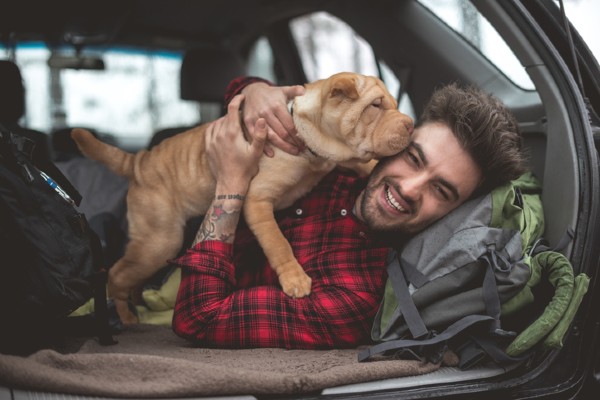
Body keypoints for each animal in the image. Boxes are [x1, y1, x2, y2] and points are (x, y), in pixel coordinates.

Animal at [71, 71, 412, 322]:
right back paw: (127, 317)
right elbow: (278, 243)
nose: (410, 124)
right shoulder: (257, 201)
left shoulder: (338, 159)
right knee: (117, 274)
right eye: (375, 106)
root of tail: (139, 161)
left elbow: (363, 164)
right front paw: (295, 279)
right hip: (158, 242)